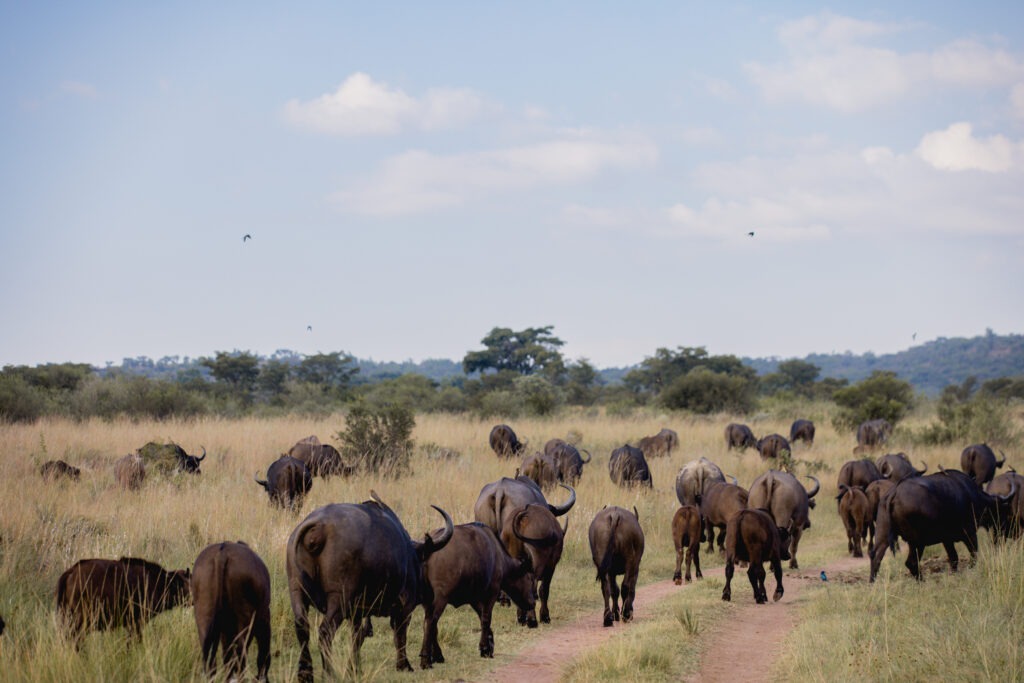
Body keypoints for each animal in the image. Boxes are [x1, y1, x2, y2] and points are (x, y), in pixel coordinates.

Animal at [286, 492, 454, 677]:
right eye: (423, 563)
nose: (430, 593)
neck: (409, 555)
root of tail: (318, 528)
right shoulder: (405, 605)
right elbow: (400, 635)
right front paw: (404, 665)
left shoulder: (357, 613)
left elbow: (357, 637)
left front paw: (354, 669)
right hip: (338, 600)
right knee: (325, 632)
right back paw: (329, 672)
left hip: (297, 592)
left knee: (302, 628)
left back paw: (305, 672)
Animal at [419, 523, 536, 668]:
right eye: (529, 578)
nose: (533, 602)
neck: (498, 556)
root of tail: (428, 548)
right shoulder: (492, 593)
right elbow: (486, 618)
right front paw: (485, 647)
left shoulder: (474, 598)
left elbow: (481, 617)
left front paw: (490, 644)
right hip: (441, 598)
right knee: (431, 621)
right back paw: (426, 660)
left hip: (427, 601)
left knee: (430, 624)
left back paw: (438, 655)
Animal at [870, 469, 1016, 581]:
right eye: (1004, 511)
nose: (1007, 531)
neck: (973, 496)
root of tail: (894, 493)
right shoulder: (969, 533)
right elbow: (973, 554)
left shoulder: (947, 539)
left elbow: (954, 558)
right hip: (917, 542)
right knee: (911, 562)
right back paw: (922, 581)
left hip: (883, 536)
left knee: (876, 557)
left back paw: (872, 582)